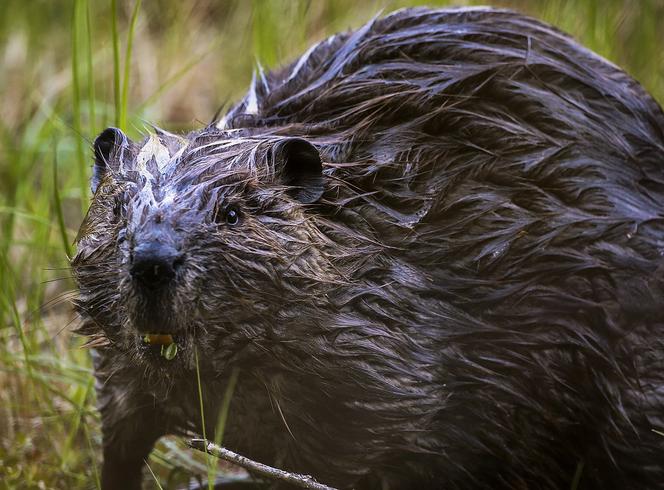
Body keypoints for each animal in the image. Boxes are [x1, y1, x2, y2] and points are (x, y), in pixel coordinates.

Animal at [71, 6, 664, 490]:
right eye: (118, 208)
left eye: (232, 213)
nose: (152, 261)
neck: (365, 233)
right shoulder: (119, 373)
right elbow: (121, 438)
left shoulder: (383, 376)